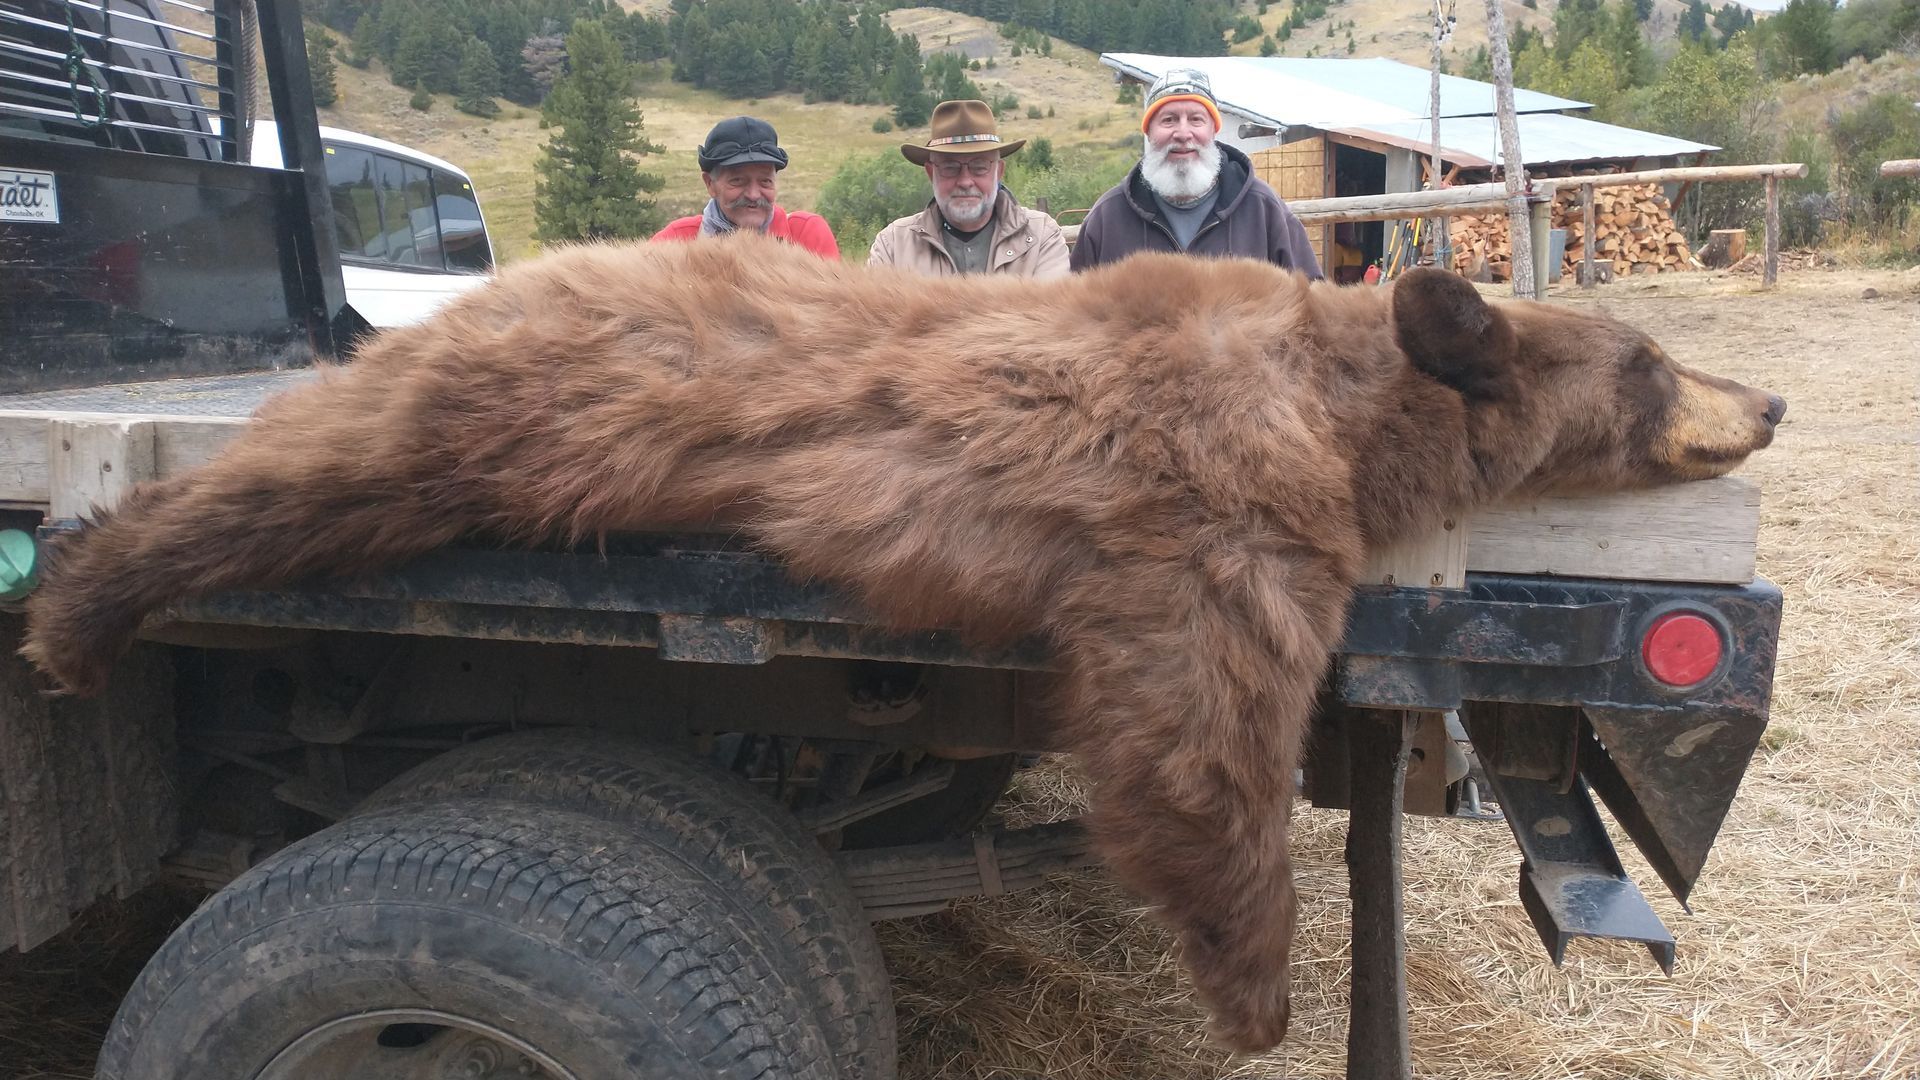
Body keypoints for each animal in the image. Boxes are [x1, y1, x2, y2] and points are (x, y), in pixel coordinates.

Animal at [19, 235, 1784, 1053]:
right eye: (1649, 358)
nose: (1767, 398)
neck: (1350, 402)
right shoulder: (1197, 487)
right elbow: (1197, 720)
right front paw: (1256, 987)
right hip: (494, 417)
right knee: (297, 478)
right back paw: (79, 606)